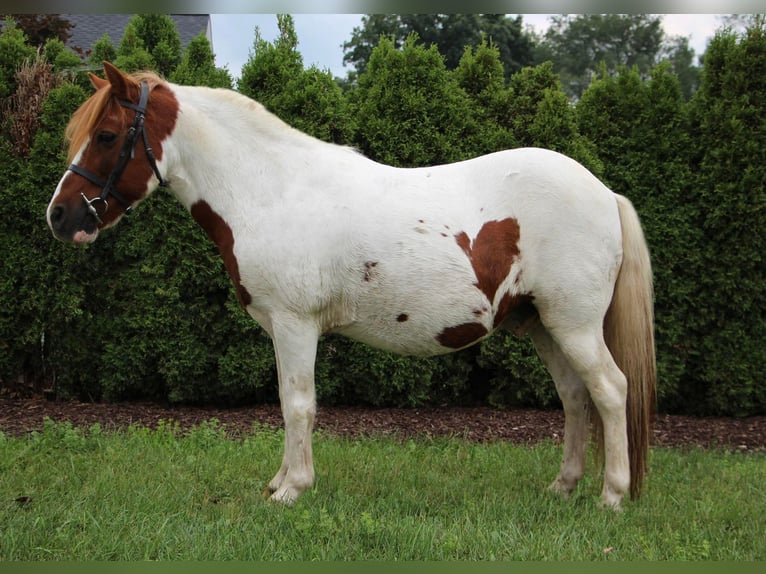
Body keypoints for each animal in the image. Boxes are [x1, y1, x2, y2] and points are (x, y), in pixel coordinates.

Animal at [46, 63, 656, 510]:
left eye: (106, 135)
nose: (59, 216)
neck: (271, 191)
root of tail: (604, 192)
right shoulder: (282, 330)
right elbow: (288, 402)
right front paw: (280, 481)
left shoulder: (295, 326)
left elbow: (297, 404)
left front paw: (291, 490)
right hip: (544, 325)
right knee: (575, 397)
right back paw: (563, 487)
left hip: (574, 325)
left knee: (610, 390)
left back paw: (611, 496)